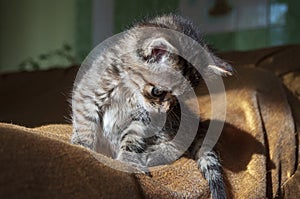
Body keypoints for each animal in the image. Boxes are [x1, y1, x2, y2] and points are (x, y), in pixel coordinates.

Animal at [71, 14, 233, 199]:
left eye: (181, 98)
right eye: (158, 92)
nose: (165, 111)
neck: (129, 90)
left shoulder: (144, 119)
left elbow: (132, 139)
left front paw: (128, 161)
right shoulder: (88, 94)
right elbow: (85, 125)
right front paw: (82, 147)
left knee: (179, 145)